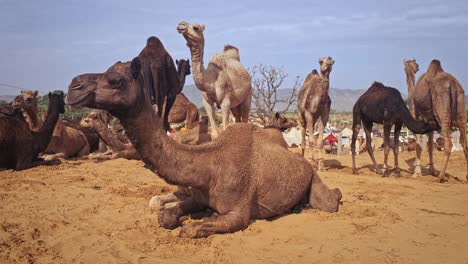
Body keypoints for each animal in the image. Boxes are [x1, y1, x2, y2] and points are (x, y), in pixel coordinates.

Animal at [66, 56, 342, 238]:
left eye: (115, 80)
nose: (73, 87)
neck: (210, 165)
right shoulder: (198, 195)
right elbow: (166, 216)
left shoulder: (239, 213)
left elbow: (191, 229)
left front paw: (200, 221)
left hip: (314, 181)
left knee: (330, 201)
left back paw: (328, 196)